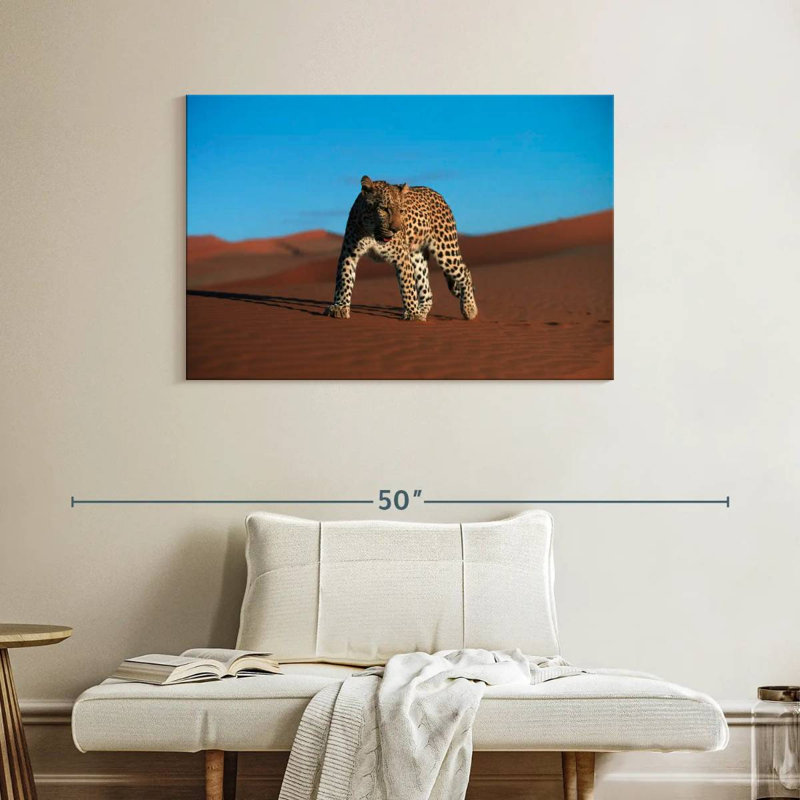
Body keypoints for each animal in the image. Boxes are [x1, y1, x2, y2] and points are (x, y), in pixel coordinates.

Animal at [327, 175, 478, 322]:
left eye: (401, 211)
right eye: (384, 209)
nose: (396, 229)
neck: (372, 234)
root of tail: (438, 195)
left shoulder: (401, 257)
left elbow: (407, 286)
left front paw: (412, 313)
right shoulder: (349, 254)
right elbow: (344, 280)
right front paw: (340, 307)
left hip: (445, 250)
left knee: (465, 273)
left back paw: (469, 309)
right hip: (417, 256)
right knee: (427, 291)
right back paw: (422, 313)